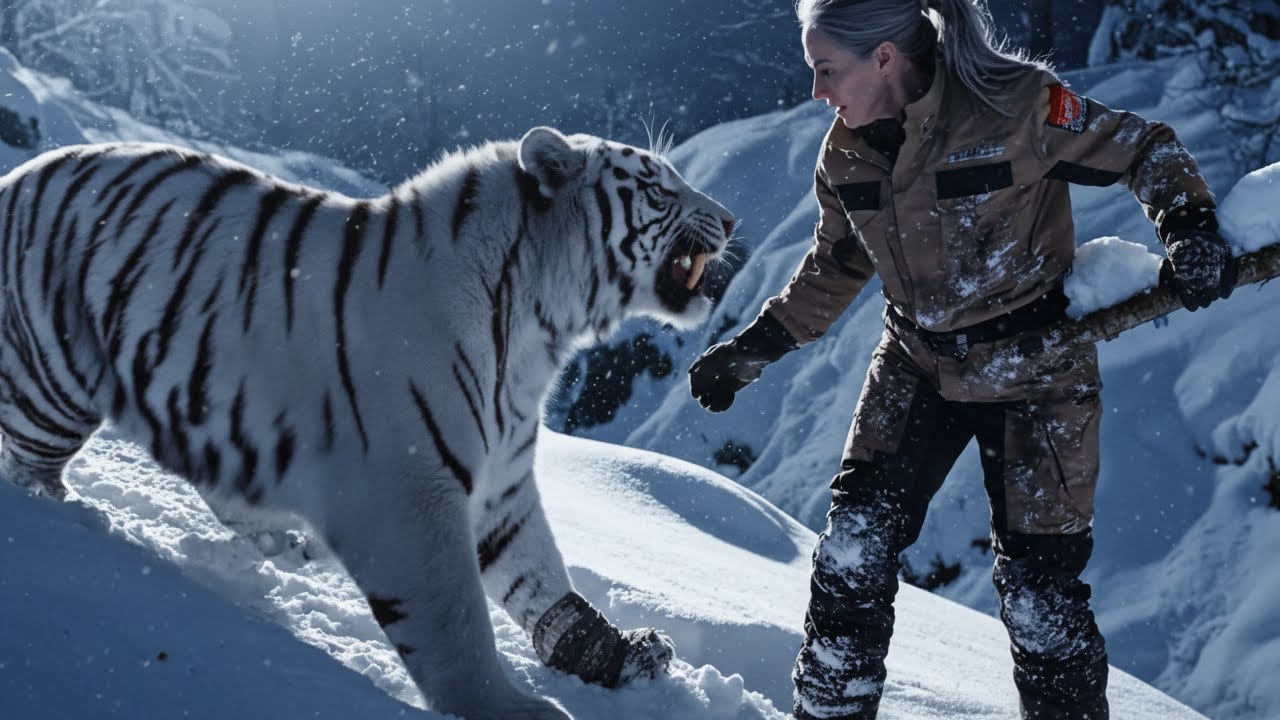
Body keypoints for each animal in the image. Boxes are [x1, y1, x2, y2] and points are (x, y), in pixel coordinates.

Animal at [0, 126, 734, 719]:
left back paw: (281, 542)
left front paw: (619, 653)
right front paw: (510, 708)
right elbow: (456, 616)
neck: (539, 331)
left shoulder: (503, 483)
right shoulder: (411, 488)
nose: (730, 220)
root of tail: (21, 173)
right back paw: (73, 519)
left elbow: (539, 576)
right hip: (54, 378)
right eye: (658, 186)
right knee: (30, 464)